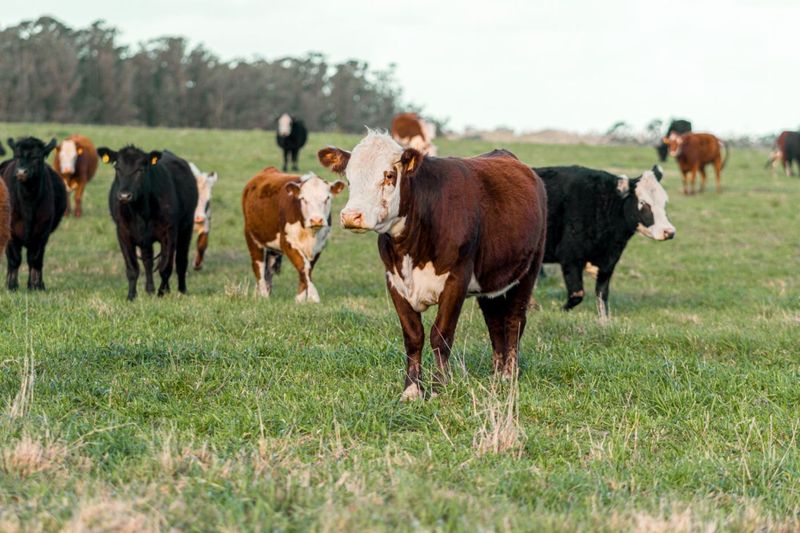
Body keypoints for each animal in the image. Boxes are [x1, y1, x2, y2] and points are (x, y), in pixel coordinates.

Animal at [1, 137, 66, 290]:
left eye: (37, 157)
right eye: (17, 156)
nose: (21, 172)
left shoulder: (42, 231)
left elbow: (35, 259)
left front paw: (36, 285)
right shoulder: (11, 231)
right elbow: (14, 259)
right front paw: (11, 285)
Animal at [98, 146, 198, 301]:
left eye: (141, 169)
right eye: (117, 167)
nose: (124, 195)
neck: (139, 212)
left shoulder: (170, 232)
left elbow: (165, 267)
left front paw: (161, 293)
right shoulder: (123, 232)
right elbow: (132, 268)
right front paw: (131, 296)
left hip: (186, 227)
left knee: (181, 261)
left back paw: (181, 290)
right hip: (146, 240)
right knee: (148, 261)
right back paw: (150, 289)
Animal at [242, 167, 345, 302]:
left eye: (327, 198)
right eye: (303, 199)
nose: (316, 220)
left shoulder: (319, 246)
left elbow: (308, 269)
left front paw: (300, 300)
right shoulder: (287, 243)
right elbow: (303, 266)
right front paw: (313, 297)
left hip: (272, 249)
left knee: (268, 270)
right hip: (252, 237)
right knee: (258, 267)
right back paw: (263, 296)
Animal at [318, 130, 547, 400]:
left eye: (389, 175)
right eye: (349, 177)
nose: (351, 216)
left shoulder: (456, 279)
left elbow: (441, 336)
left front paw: (439, 388)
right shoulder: (394, 281)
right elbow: (413, 336)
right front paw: (411, 390)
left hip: (528, 270)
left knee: (514, 321)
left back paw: (509, 376)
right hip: (490, 280)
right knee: (494, 323)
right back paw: (496, 375)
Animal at [534, 165, 675, 320]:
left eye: (664, 202)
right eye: (643, 202)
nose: (669, 232)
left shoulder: (609, 261)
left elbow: (602, 295)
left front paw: (604, 321)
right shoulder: (570, 257)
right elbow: (577, 294)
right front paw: (558, 310)